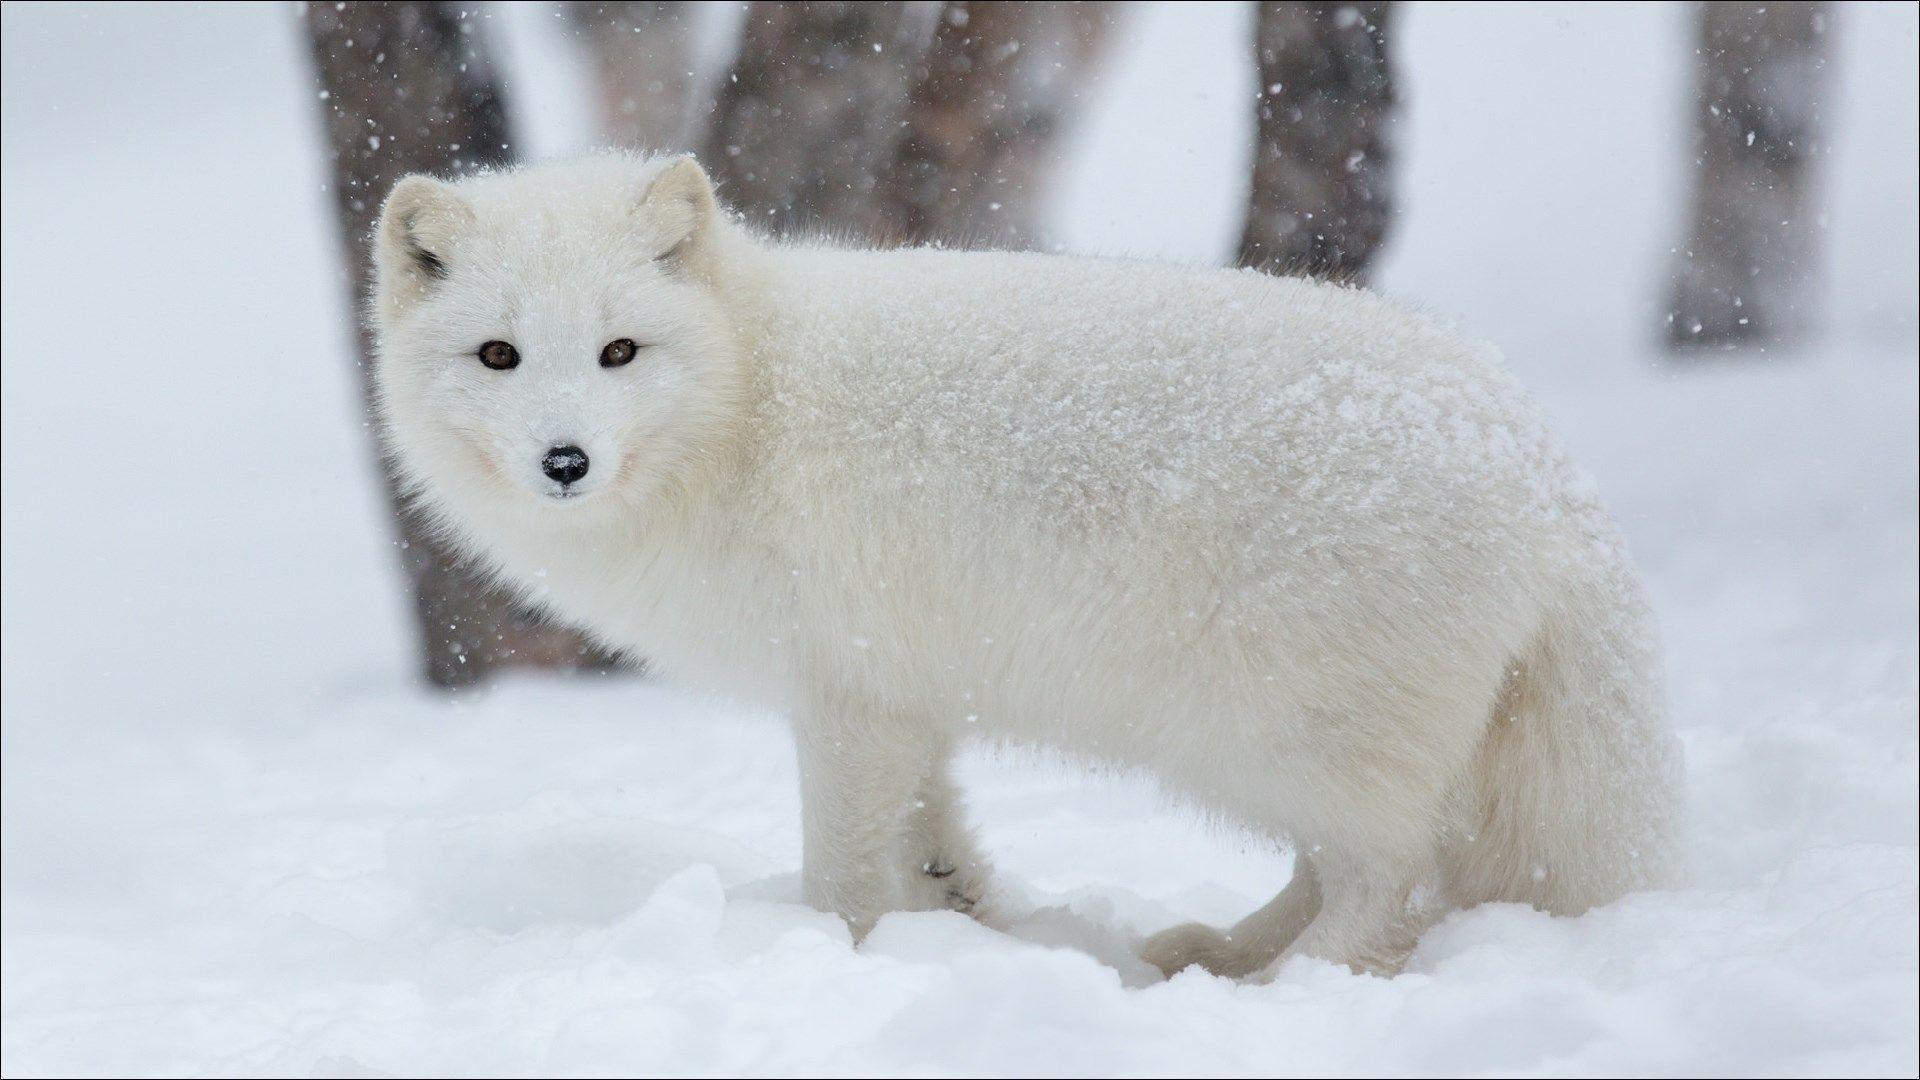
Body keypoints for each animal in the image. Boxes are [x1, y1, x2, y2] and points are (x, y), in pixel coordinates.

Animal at [369, 153, 1682, 978]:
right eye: (498, 355)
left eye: (619, 351)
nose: (566, 461)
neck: (752, 395)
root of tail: (1541, 469)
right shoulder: (906, 701)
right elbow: (932, 843)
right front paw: (963, 929)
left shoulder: (846, 700)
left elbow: (846, 874)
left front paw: (836, 960)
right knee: (1350, 876)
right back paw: (1215, 955)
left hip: (1276, 736)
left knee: (1393, 885)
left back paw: (1279, 990)